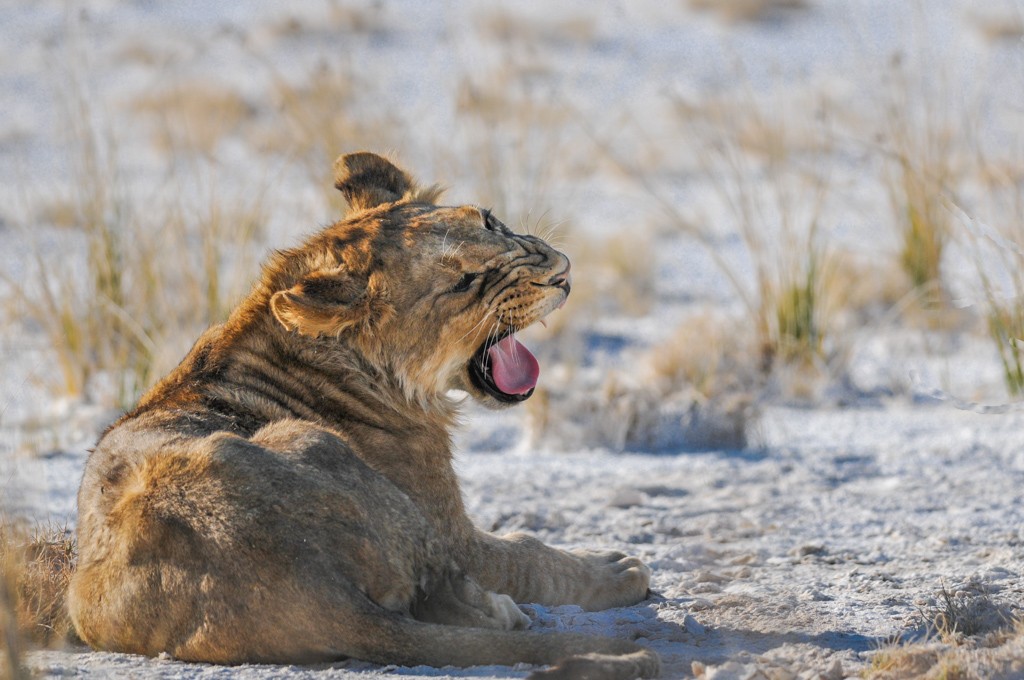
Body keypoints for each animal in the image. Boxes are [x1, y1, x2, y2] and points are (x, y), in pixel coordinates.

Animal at [68, 153, 659, 680]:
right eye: (462, 283)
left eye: (491, 222)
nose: (561, 272)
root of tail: (304, 585)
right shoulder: (453, 529)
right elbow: (526, 556)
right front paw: (612, 568)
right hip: (316, 446)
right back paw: (510, 610)